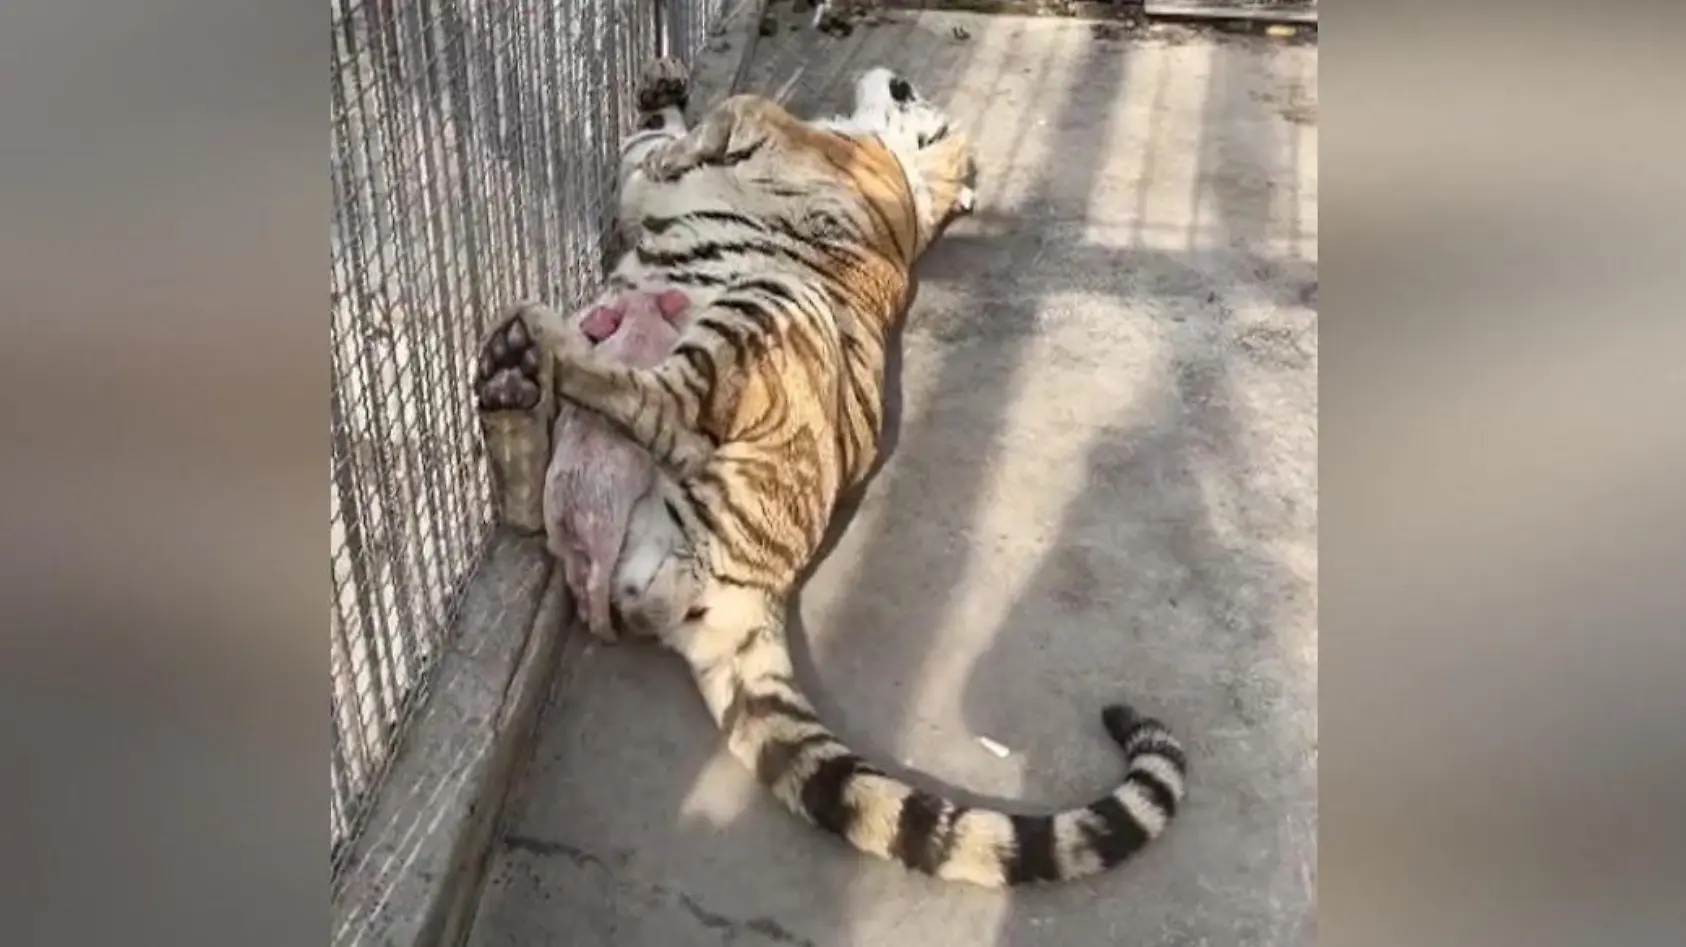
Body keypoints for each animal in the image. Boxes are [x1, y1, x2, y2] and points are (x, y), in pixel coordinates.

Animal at [472, 58, 1187, 888]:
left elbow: (743, 110)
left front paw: (695, 129)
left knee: (654, 403)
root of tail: (756, 591)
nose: (900, 77)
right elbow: (654, 143)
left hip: (762, 310)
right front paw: (663, 93)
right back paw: (510, 382)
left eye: (925, 107)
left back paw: (541, 340)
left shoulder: (803, 152)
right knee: (547, 507)